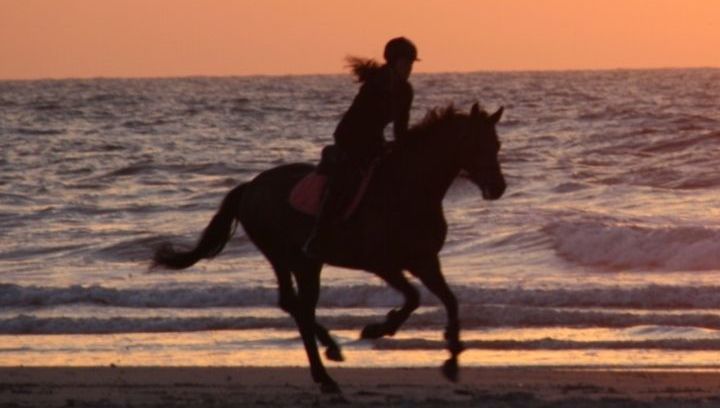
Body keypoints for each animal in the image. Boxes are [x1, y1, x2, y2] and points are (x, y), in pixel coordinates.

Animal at [153, 103, 506, 394]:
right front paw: (378, 328)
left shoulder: (425, 260)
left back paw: (331, 351)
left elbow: (450, 301)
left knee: (295, 306)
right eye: (478, 144)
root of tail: (250, 186)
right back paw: (325, 375)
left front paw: (452, 360)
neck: (406, 190)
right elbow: (414, 298)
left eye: (497, 145)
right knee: (300, 308)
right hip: (290, 258)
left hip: (303, 262)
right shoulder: (382, 263)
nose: (499, 188)